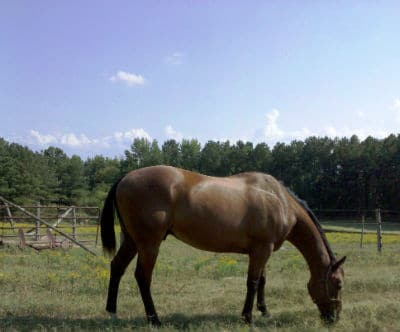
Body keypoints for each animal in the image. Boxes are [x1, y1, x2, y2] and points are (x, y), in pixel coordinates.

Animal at [101, 165, 346, 326]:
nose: (334, 319)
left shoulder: (263, 251)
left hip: (132, 241)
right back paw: (154, 319)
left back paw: (112, 311)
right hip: (149, 244)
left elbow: (262, 281)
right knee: (143, 277)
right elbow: (252, 283)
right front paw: (247, 317)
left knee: (117, 267)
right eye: (339, 284)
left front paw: (264, 311)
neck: (279, 201)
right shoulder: (261, 250)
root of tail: (125, 178)